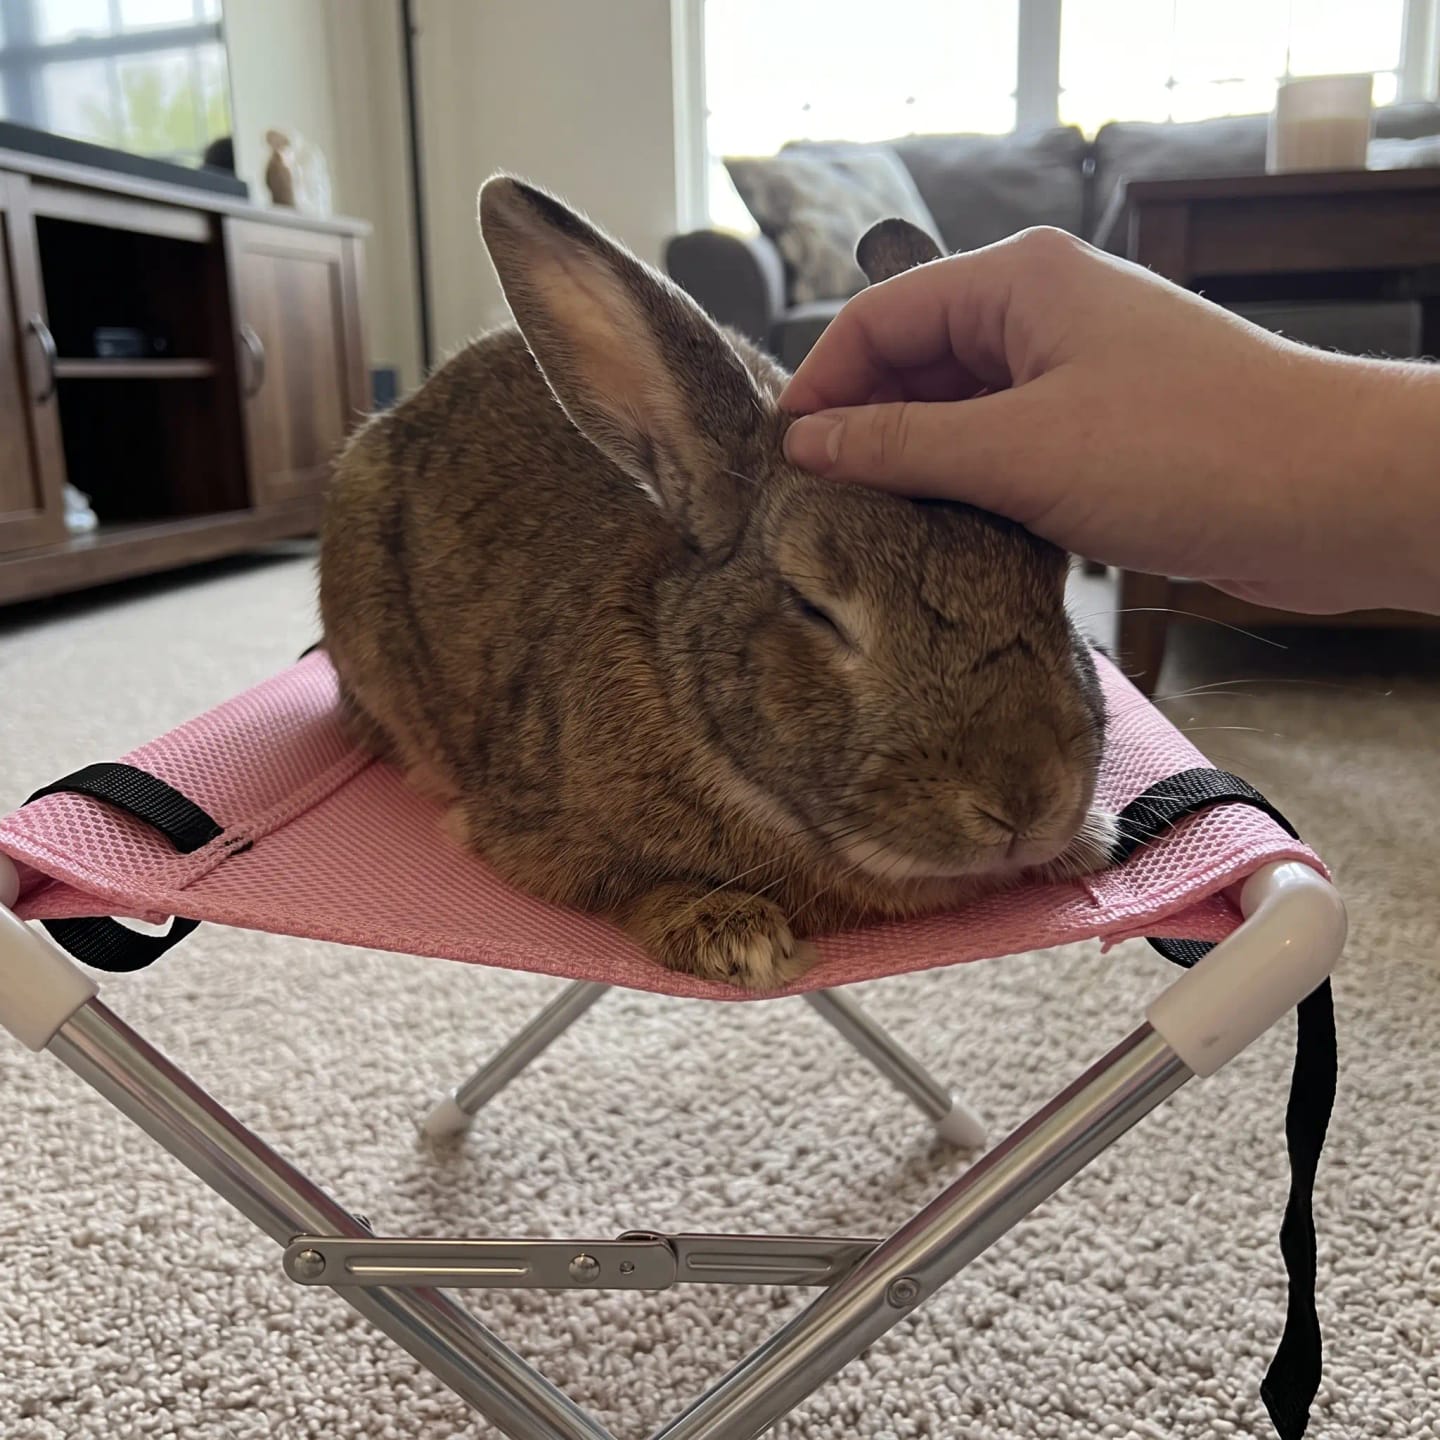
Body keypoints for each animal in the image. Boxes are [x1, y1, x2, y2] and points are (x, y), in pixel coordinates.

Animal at [319, 176, 1114, 992]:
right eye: (814, 608)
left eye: (1054, 583)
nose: (1026, 802)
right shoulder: (530, 832)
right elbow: (625, 885)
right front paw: (734, 935)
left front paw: (1089, 838)